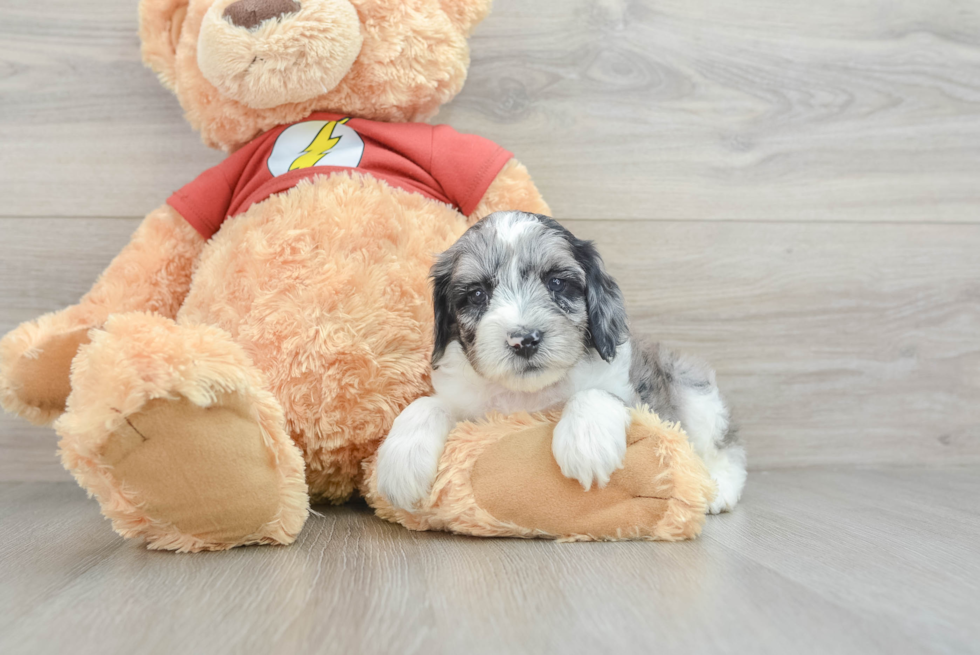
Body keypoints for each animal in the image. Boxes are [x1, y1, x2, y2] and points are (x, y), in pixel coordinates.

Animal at [376, 213, 744, 516]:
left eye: (556, 282)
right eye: (478, 294)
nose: (523, 339)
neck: (527, 394)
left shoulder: (634, 396)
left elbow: (595, 394)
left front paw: (587, 442)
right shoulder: (467, 405)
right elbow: (426, 404)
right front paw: (400, 461)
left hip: (693, 391)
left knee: (724, 450)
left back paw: (718, 488)